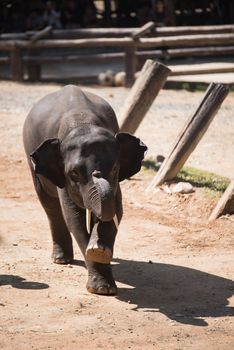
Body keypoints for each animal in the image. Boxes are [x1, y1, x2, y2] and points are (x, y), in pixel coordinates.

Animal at [23, 85, 147, 296]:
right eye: (74, 173)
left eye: (115, 169)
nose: (97, 174)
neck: (83, 122)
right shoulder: (63, 179)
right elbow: (75, 218)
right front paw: (101, 288)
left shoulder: (115, 185)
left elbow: (116, 210)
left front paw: (99, 250)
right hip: (31, 163)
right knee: (50, 207)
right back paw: (61, 260)